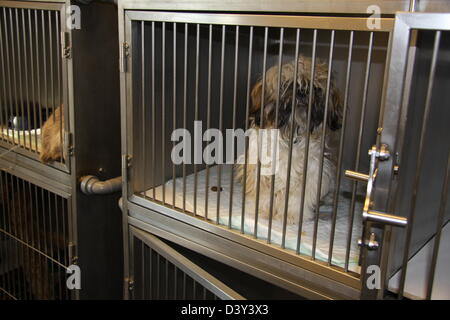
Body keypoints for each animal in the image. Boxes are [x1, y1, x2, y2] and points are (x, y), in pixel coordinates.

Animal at [234, 55, 342, 225]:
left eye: (316, 88)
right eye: (288, 85)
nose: (302, 92)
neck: (292, 133)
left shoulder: (312, 172)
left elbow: (297, 199)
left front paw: (291, 215)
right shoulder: (261, 169)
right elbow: (264, 194)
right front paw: (262, 211)